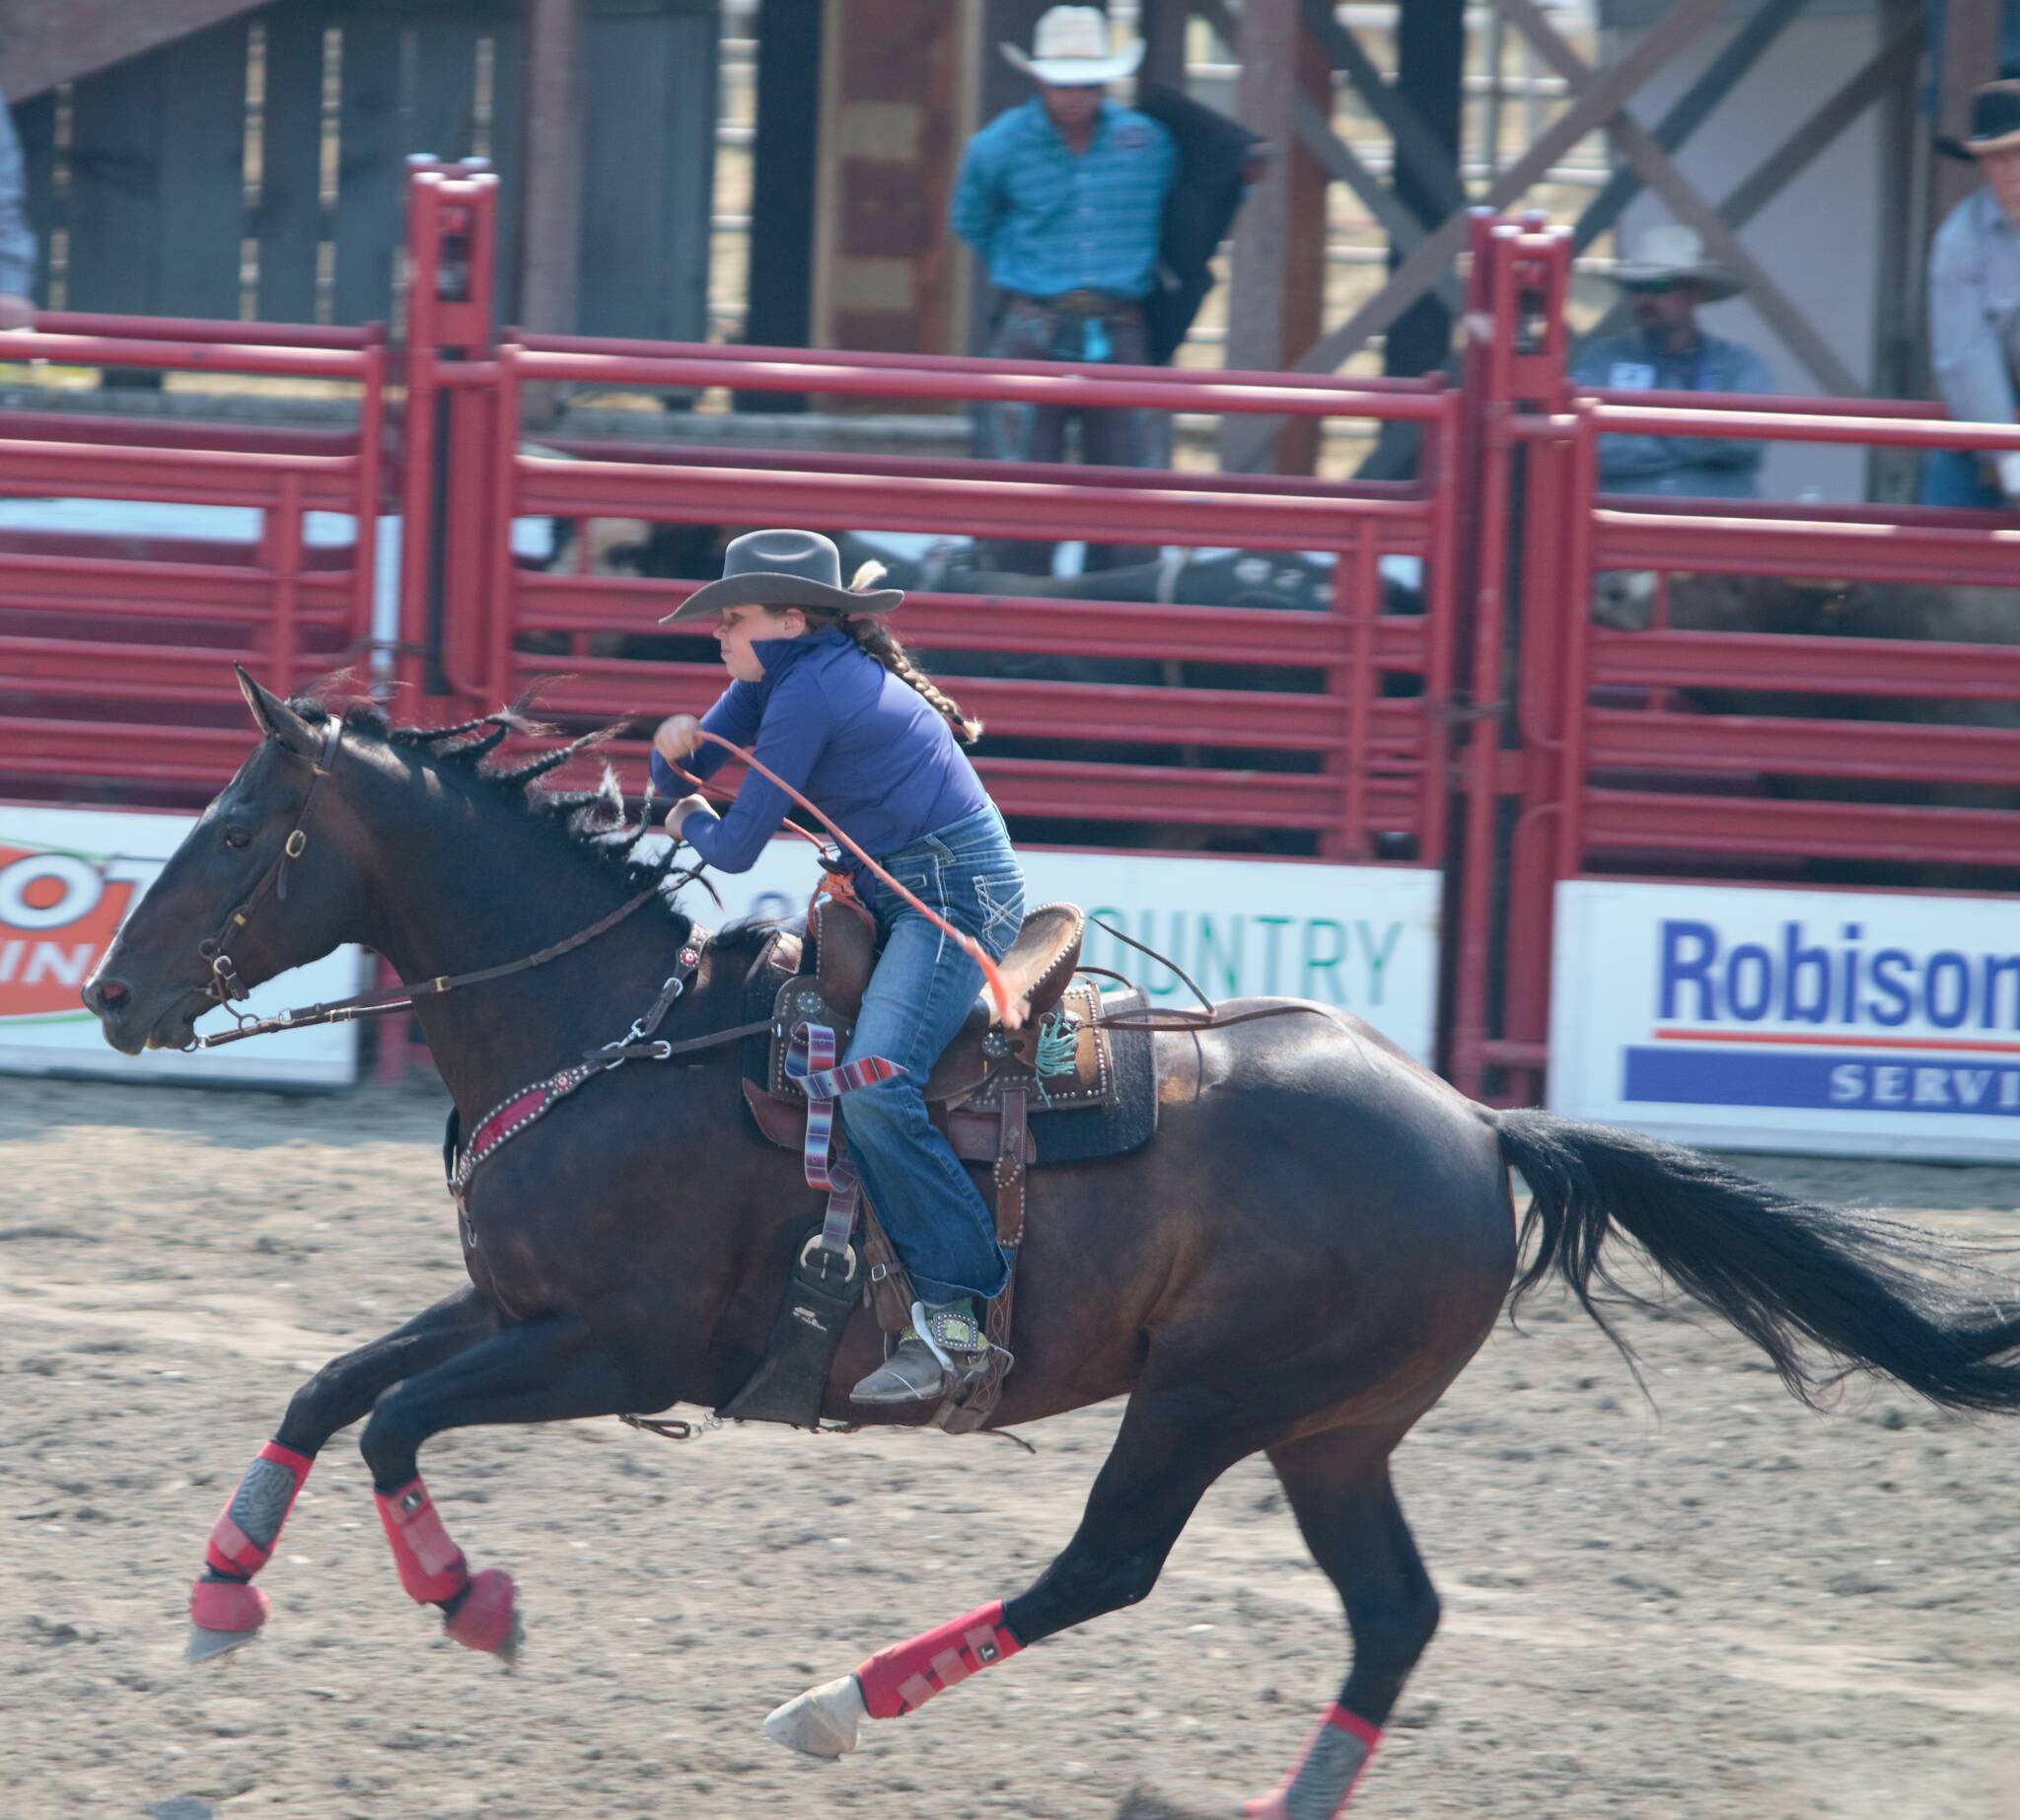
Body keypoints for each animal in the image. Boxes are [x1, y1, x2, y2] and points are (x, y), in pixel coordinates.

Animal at [82, 670, 2020, 1817]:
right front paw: (217, 1597)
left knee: (1110, 1565)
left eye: (241, 831)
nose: (104, 996)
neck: (612, 1030)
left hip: (1213, 1399)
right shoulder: (511, 1304)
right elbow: (332, 1385)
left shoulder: (609, 1350)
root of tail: (1478, 1126)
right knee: (1390, 1614)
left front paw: (469, 1603)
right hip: (1332, 1429)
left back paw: (835, 1704)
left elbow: (399, 1423)